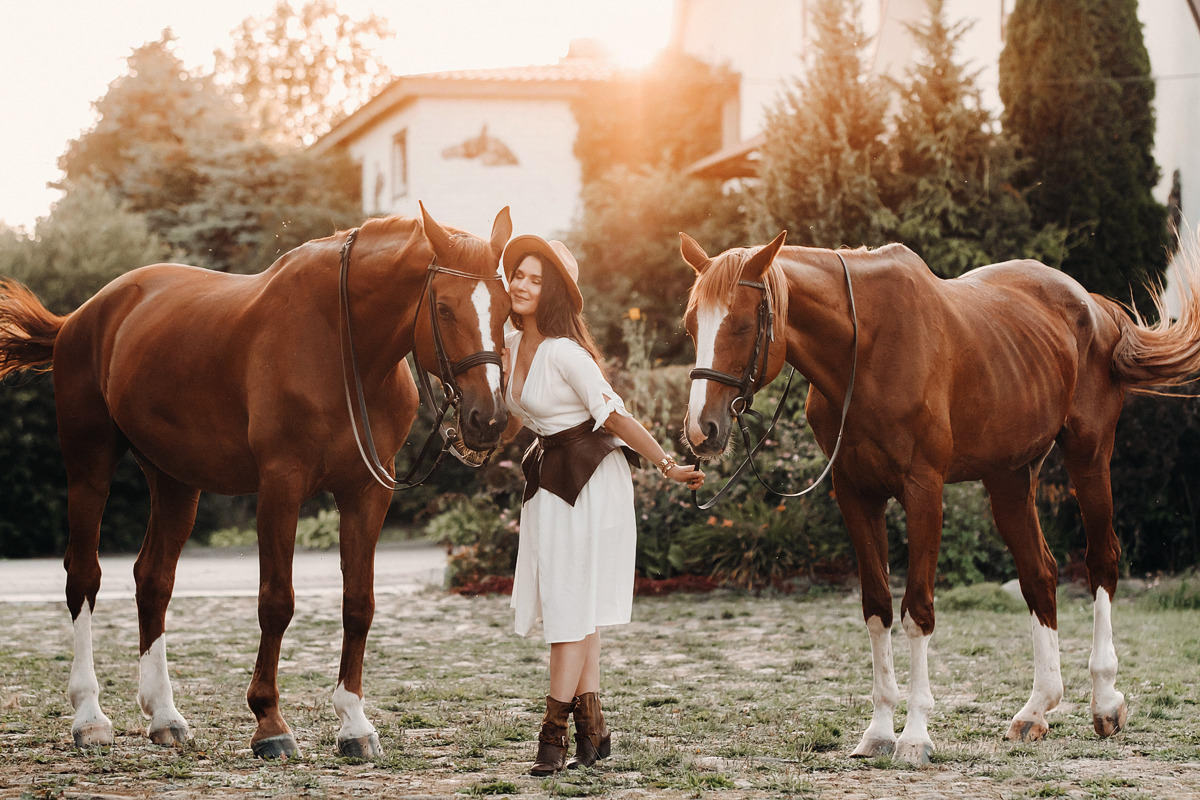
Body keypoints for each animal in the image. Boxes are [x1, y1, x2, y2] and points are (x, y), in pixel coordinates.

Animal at [0, 205, 511, 758]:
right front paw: (270, 723)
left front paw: (354, 723)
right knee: (84, 576)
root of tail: (81, 315)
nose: (488, 419)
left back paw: (164, 715)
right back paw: (89, 716)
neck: (341, 342)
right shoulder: (280, 486)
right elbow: (276, 601)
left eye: (507, 309)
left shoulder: (367, 493)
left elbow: (359, 604)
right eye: (444, 308)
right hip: (88, 466)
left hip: (175, 481)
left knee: (153, 580)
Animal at [681, 230, 1200, 762]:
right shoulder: (855, 495)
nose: (703, 429)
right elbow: (877, 608)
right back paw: (1036, 709)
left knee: (1102, 562)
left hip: (1088, 456)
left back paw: (1105, 700)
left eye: (743, 324)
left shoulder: (923, 490)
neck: (865, 349)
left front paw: (914, 736)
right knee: (1039, 574)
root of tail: (1093, 306)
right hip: (1010, 478)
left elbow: (918, 612)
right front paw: (879, 731)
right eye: (690, 325)